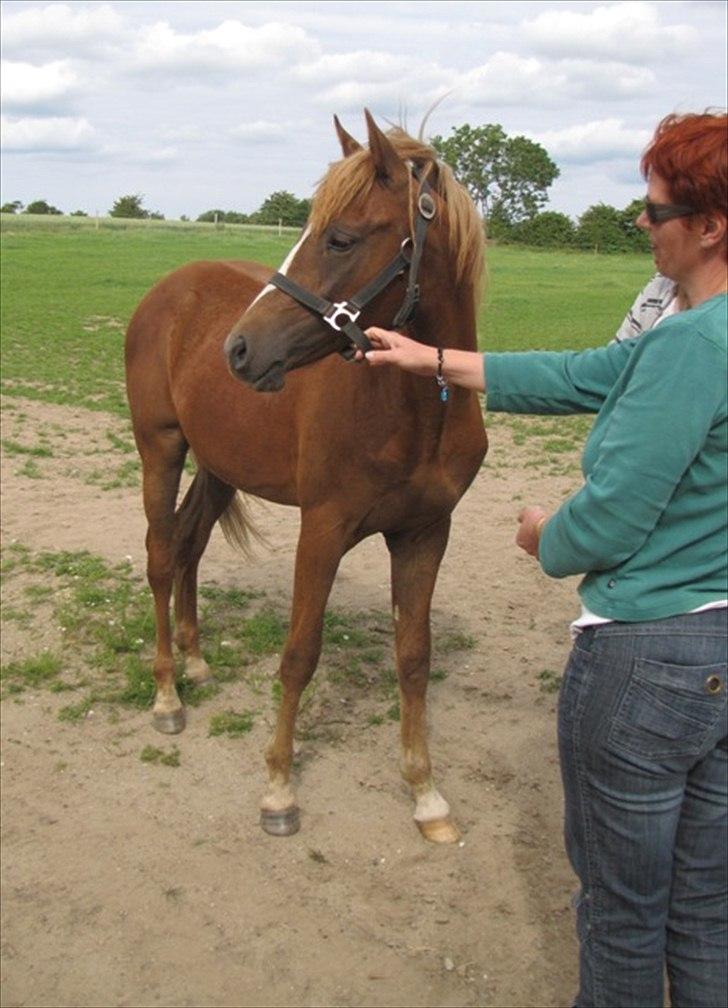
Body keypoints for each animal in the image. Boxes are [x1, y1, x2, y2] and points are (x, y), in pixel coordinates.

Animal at [125, 110, 488, 838]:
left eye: (340, 237)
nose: (239, 349)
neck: (414, 412)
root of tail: (168, 291)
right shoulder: (322, 530)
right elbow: (299, 655)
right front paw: (278, 789)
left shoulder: (425, 533)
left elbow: (414, 657)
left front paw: (426, 794)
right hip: (161, 448)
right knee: (158, 555)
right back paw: (168, 695)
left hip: (219, 466)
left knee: (188, 545)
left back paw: (197, 661)